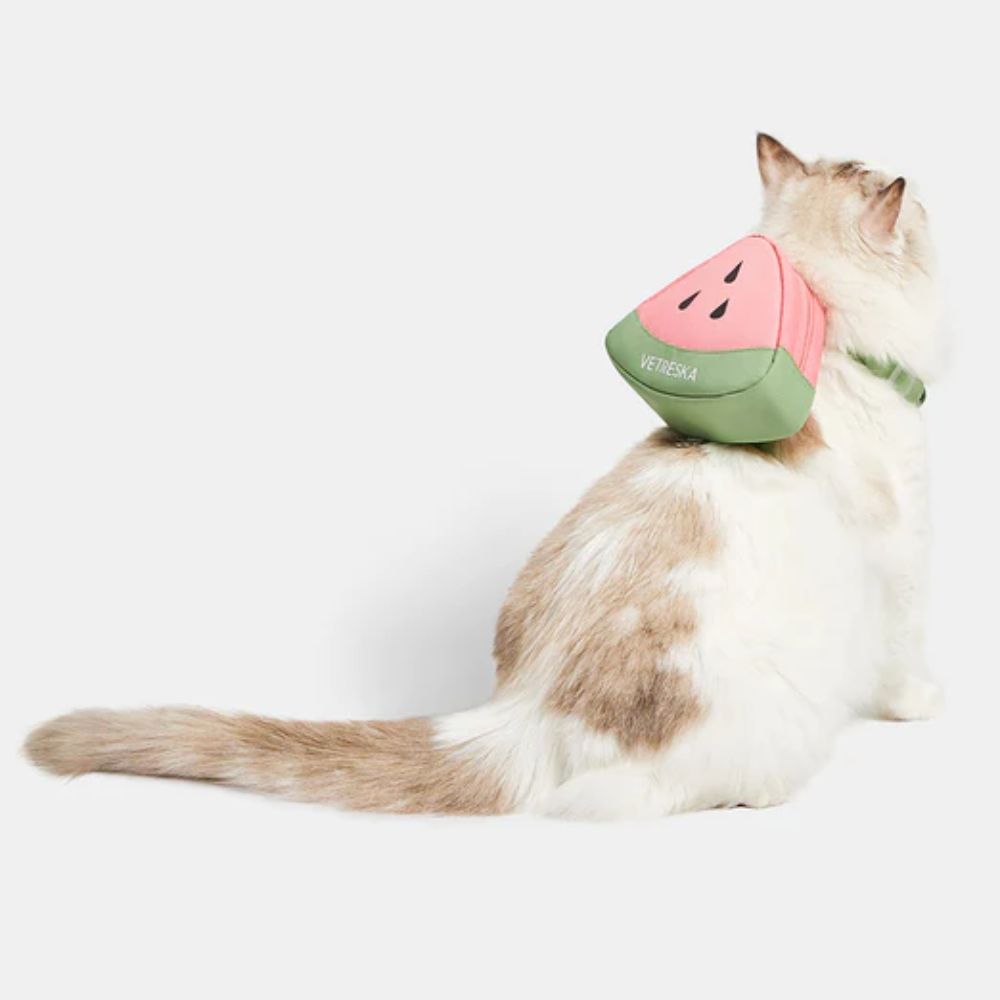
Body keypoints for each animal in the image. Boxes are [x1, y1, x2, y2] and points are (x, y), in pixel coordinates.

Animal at [25, 134, 943, 819]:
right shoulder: (900, 555)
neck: (830, 337)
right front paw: (919, 704)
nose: (931, 199)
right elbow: (903, 655)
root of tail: (520, 715)